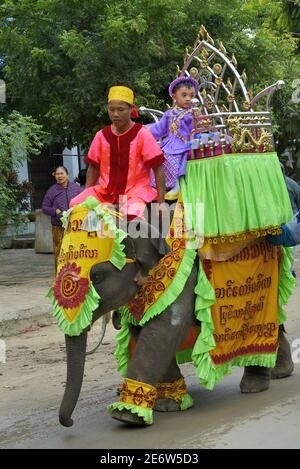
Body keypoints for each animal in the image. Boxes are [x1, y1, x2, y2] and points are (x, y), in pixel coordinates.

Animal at [58, 218, 292, 426]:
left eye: (97, 276)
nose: (70, 422)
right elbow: (144, 333)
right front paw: (168, 404)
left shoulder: (182, 282)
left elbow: (163, 332)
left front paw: (126, 416)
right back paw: (280, 372)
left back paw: (255, 386)